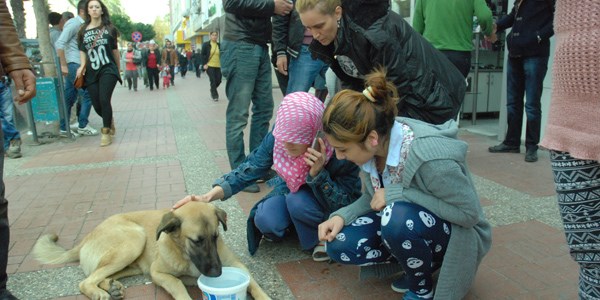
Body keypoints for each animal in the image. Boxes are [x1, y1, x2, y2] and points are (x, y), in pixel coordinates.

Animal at [30, 202, 270, 300]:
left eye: (215, 237)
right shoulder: (158, 273)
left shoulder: (237, 265)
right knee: (85, 281)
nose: (218, 273)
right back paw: (99, 292)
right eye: (196, 241)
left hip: (131, 263)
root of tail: (86, 237)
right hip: (134, 240)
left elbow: (253, 283)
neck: (184, 253)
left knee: (99, 275)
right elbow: (178, 284)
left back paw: (111, 287)